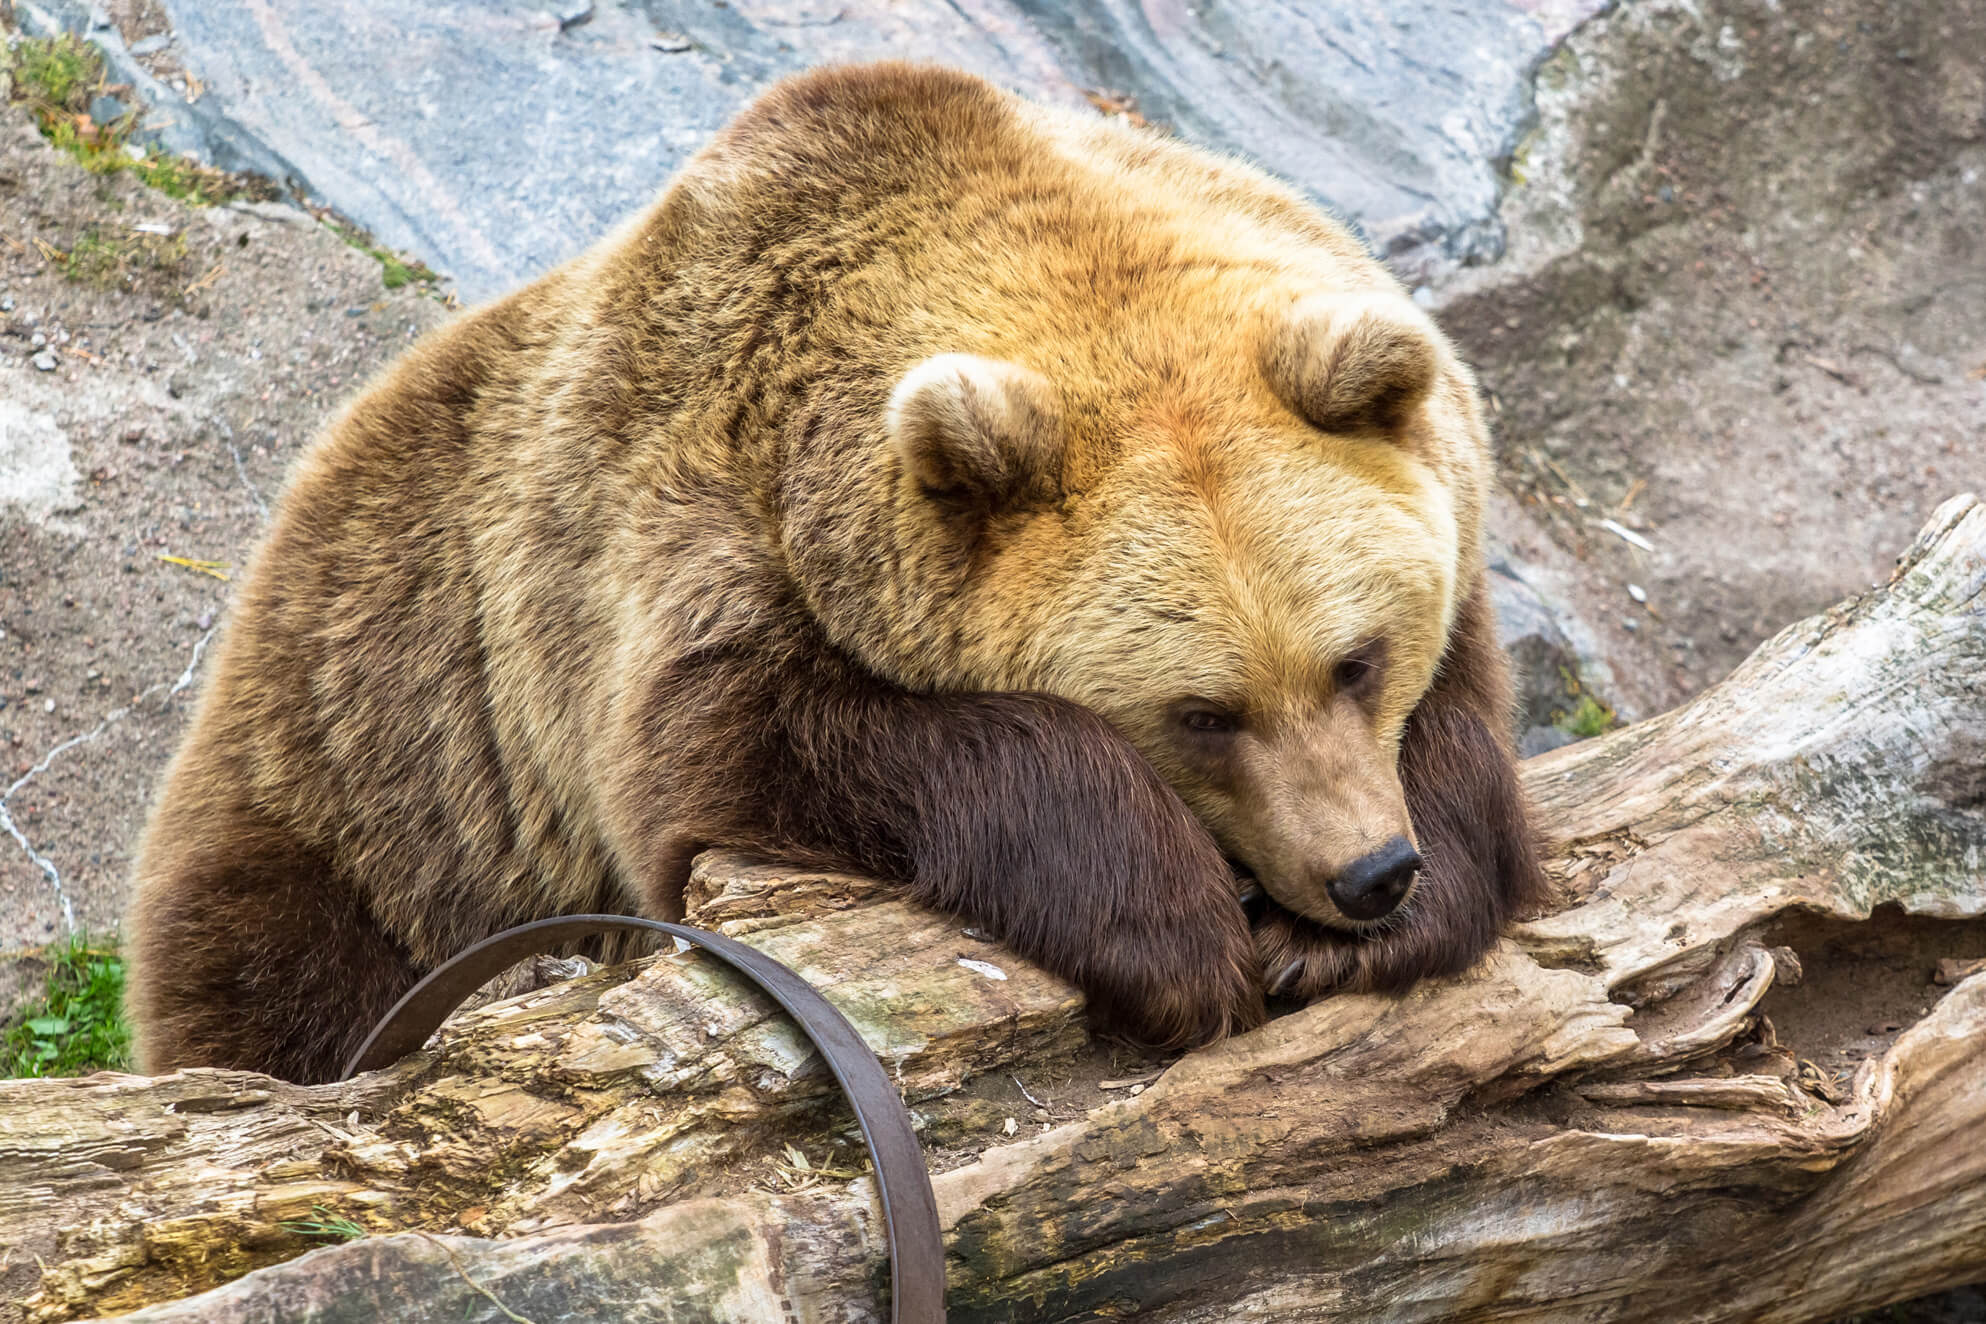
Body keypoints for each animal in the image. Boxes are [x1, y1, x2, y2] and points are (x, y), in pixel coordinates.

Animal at [126, 62, 1544, 1085]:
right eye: (1203, 712)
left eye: (1356, 659)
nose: (1366, 871)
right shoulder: (676, 553)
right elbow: (746, 756)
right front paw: (1181, 933)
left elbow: (1467, 715)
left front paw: (1366, 929)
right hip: (385, 781)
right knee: (289, 974)